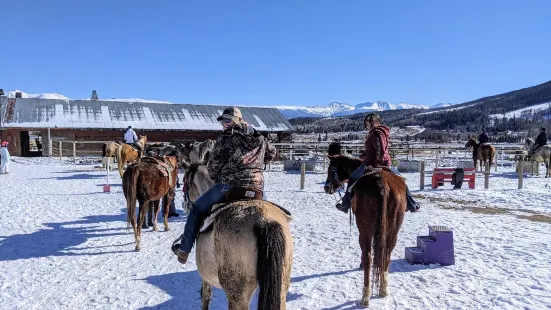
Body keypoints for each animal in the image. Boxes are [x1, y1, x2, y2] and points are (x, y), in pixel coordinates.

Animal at [180, 159, 294, 308]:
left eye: (184, 183)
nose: (183, 203)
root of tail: (264, 220)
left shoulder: (205, 278)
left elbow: (205, 297)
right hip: (281, 290)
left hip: (237, 294)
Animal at [322, 155, 408, 308]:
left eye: (331, 169)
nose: (327, 187)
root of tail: (381, 183)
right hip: (393, 229)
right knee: (386, 254)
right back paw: (383, 289)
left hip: (364, 228)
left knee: (368, 257)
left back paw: (365, 297)